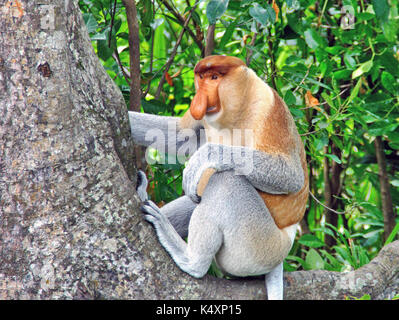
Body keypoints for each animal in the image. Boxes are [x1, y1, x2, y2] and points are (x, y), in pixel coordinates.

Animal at [130, 55, 308, 300]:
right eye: (201, 78)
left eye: (215, 77)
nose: (199, 100)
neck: (237, 110)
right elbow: (179, 134)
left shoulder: (269, 107)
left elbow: (291, 177)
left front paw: (204, 157)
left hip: (260, 247)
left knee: (226, 181)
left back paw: (190, 258)